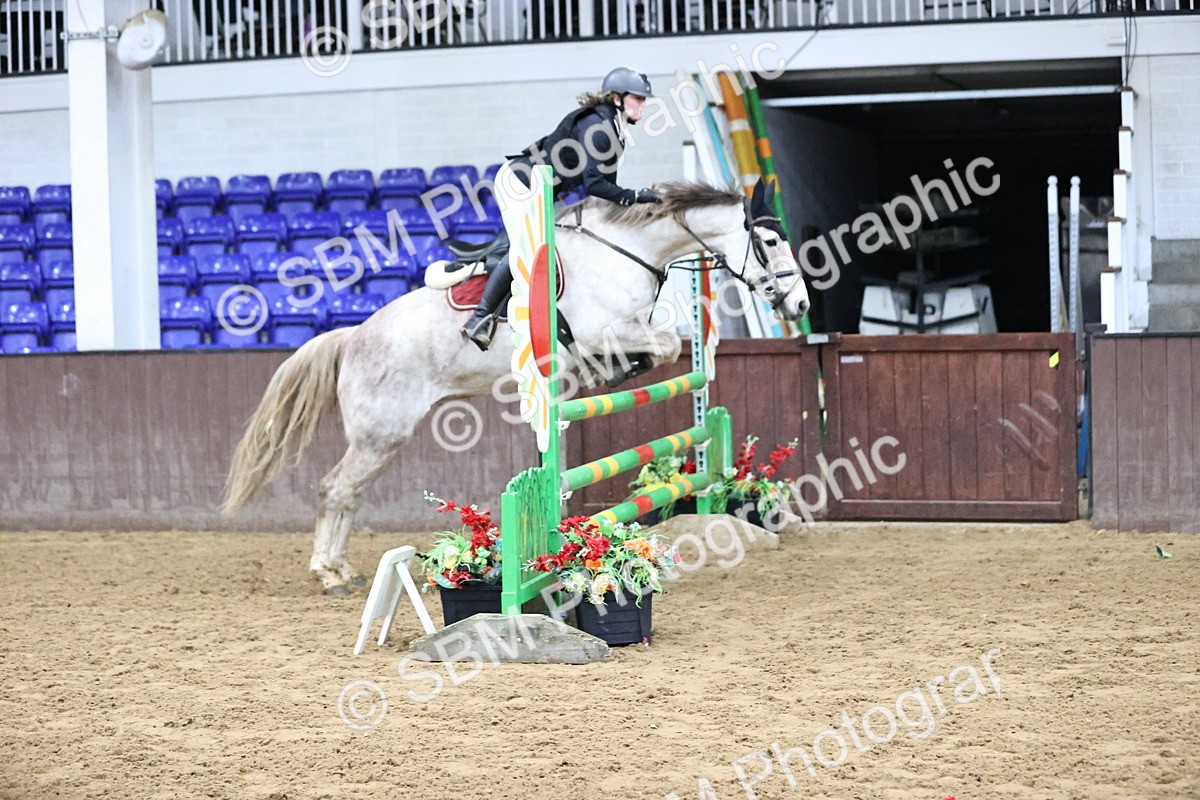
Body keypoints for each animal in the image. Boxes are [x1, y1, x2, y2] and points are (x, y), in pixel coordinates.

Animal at [222, 178, 811, 594]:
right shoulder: (606, 329)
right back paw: (328, 573)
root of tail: (353, 336)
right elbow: (664, 345)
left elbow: (668, 347)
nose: (801, 303)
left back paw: (342, 568)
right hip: (380, 432)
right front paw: (613, 371)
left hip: (382, 439)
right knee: (335, 490)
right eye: (770, 240)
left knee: (351, 492)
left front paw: (611, 372)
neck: (625, 249)